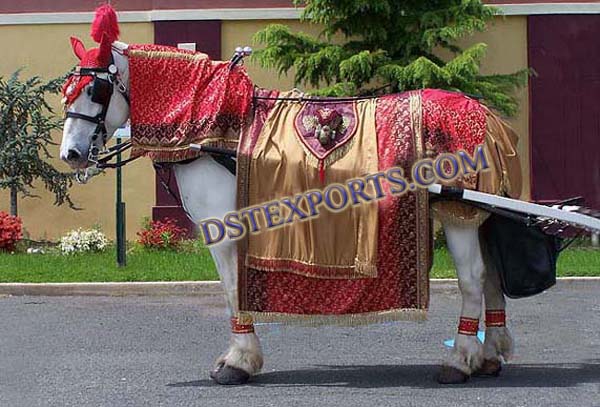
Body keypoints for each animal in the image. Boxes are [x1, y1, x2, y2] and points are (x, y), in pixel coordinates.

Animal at [59, 40, 510, 386]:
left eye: (95, 91)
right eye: (67, 92)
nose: (71, 154)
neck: (215, 126)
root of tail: (482, 113)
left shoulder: (224, 229)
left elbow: (232, 289)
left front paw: (239, 361)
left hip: (457, 212)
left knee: (473, 279)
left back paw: (460, 359)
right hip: (478, 214)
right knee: (491, 274)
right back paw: (490, 353)